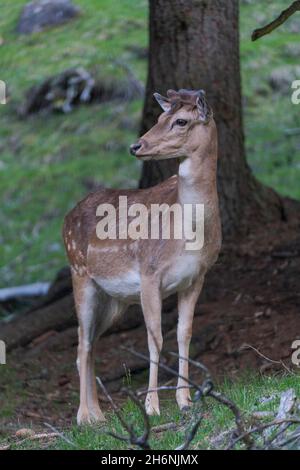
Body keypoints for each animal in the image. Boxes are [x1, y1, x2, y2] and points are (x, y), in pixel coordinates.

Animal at [63, 89, 221, 426]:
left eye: (180, 121)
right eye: (159, 116)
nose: (136, 145)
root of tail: (66, 217)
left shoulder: (197, 277)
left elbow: (184, 334)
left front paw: (185, 401)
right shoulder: (150, 273)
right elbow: (154, 338)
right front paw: (152, 406)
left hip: (115, 301)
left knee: (91, 344)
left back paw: (98, 414)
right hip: (79, 274)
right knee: (82, 344)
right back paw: (84, 417)